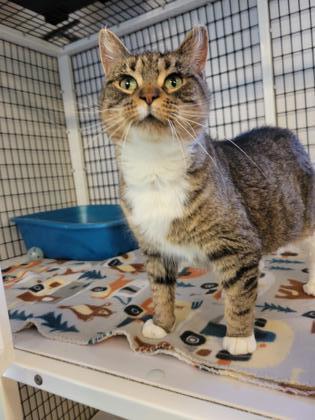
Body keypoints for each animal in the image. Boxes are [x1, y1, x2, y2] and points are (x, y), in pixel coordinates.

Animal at [99, 26, 315, 354]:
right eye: (127, 82)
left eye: (173, 80)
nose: (148, 95)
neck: (154, 168)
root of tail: (289, 134)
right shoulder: (153, 247)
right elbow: (160, 288)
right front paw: (161, 324)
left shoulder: (237, 242)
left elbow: (238, 293)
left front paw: (239, 337)